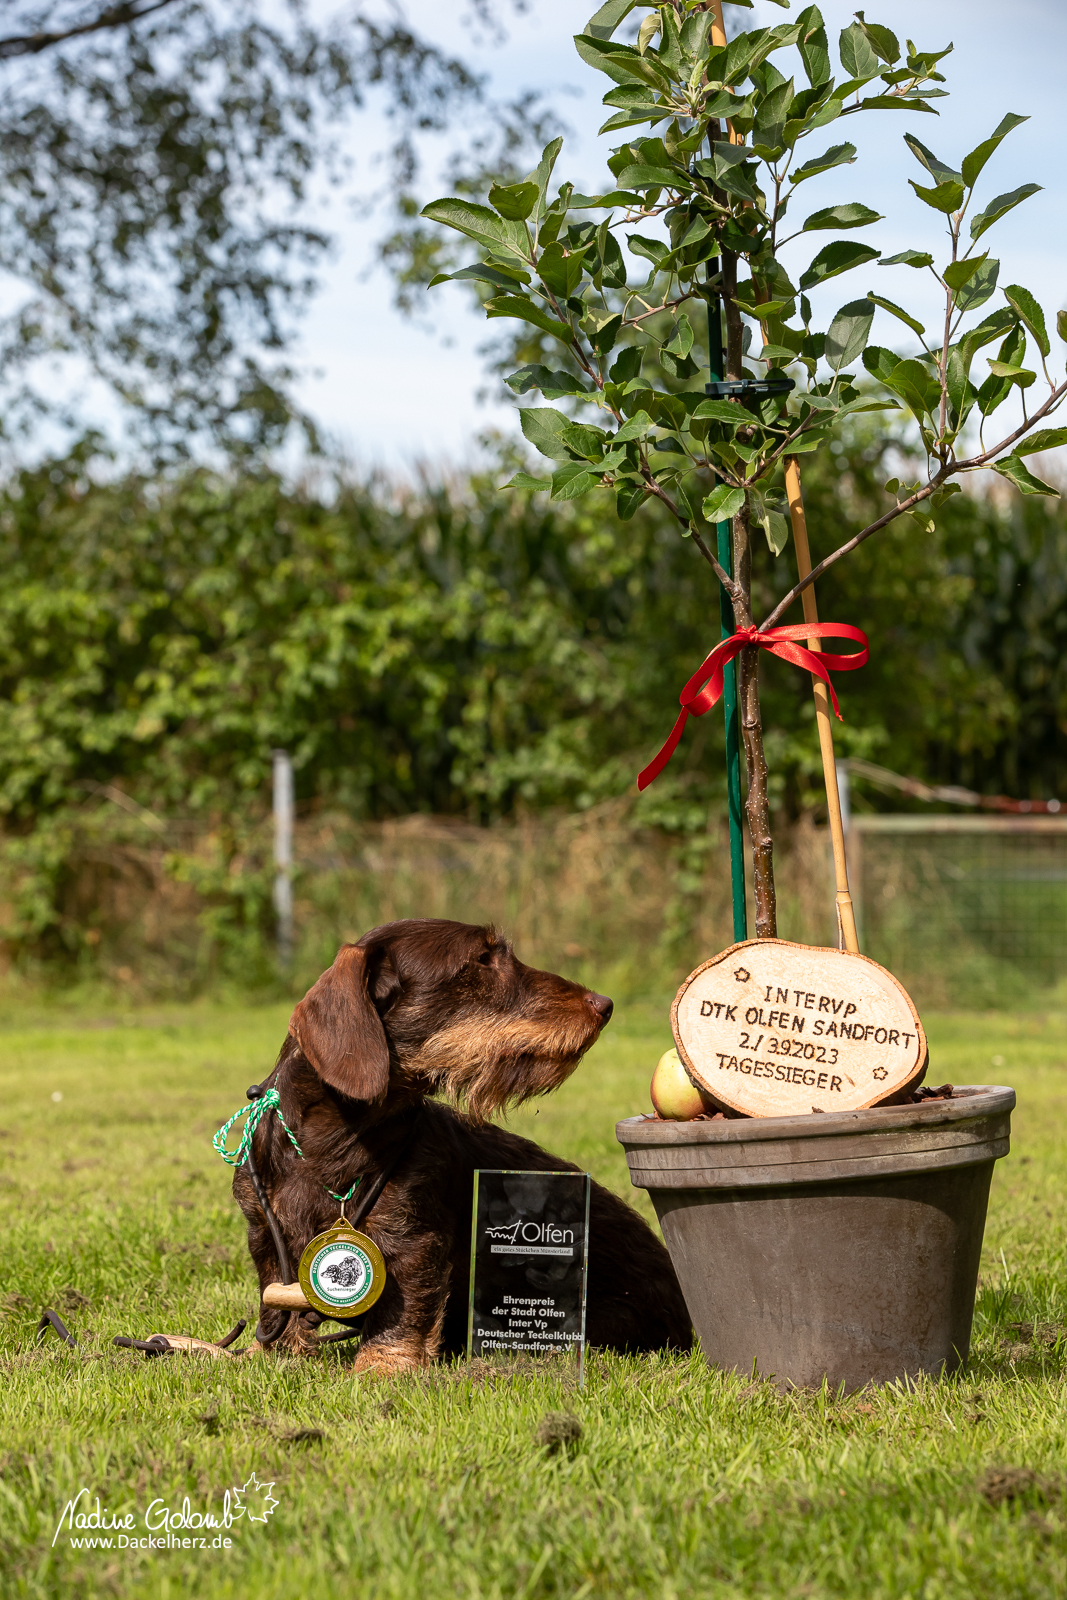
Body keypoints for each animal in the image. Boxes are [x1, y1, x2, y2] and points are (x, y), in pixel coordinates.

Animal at [233, 921, 694, 1369]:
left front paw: (382, 1366)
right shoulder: (264, 1233)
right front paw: (273, 1354)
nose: (605, 1005)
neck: (334, 1139)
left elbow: (399, 1311)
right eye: (483, 959)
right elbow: (276, 1297)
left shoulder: (414, 1240)